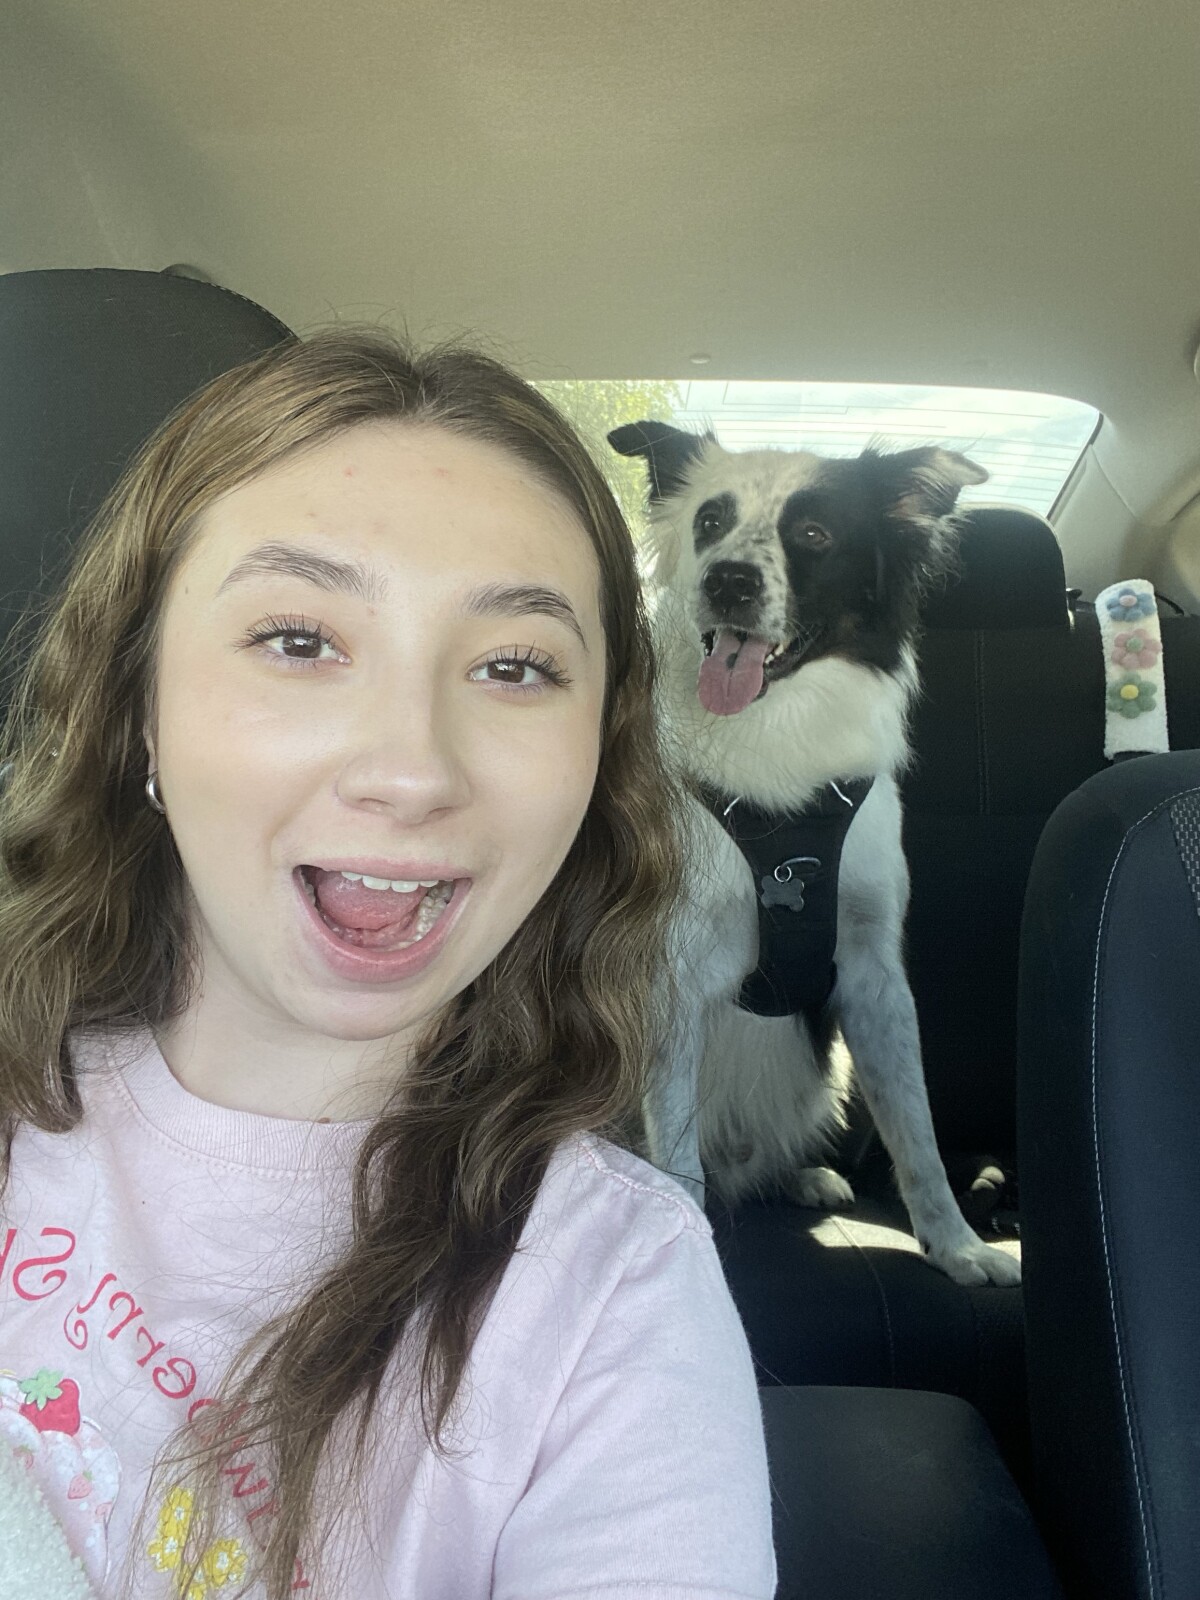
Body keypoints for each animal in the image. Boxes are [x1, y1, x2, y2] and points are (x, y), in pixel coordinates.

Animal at [610, 421, 1019, 1287]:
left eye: (815, 536)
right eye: (709, 521)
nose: (728, 580)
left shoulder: (872, 970)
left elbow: (918, 1129)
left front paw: (957, 1245)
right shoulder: (671, 978)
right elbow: (676, 1155)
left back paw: (799, 1175)